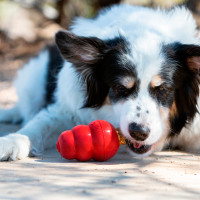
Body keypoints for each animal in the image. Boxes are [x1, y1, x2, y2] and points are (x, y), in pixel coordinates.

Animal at [0, 3, 200, 161]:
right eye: (119, 87)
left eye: (163, 89)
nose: (139, 132)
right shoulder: (66, 110)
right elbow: (39, 124)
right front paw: (12, 141)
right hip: (32, 81)